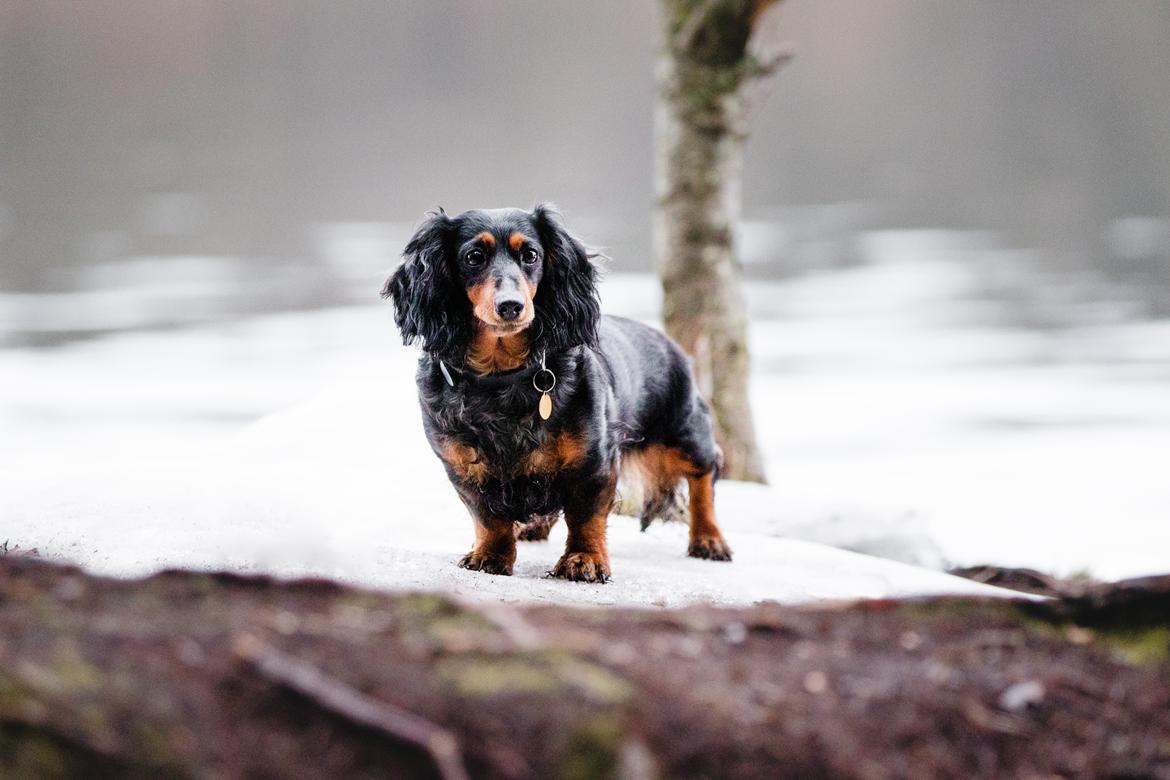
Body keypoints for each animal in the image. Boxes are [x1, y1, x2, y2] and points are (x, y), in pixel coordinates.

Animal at [383, 204, 730, 582]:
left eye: (531, 255)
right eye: (473, 257)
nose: (510, 306)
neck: (502, 377)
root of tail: (671, 344)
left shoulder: (594, 461)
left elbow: (585, 516)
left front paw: (584, 559)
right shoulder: (462, 466)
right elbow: (488, 517)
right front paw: (490, 555)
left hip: (684, 433)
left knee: (705, 475)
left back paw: (709, 538)